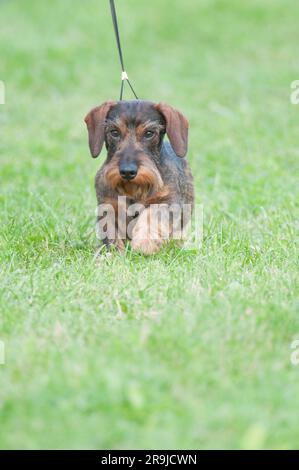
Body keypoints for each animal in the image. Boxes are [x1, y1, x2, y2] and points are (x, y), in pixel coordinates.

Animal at [85, 100, 196, 255]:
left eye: (149, 133)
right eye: (114, 132)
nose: (127, 172)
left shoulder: (168, 202)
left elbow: (151, 215)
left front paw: (144, 242)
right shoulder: (108, 206)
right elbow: (110, 234)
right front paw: (112, 255)